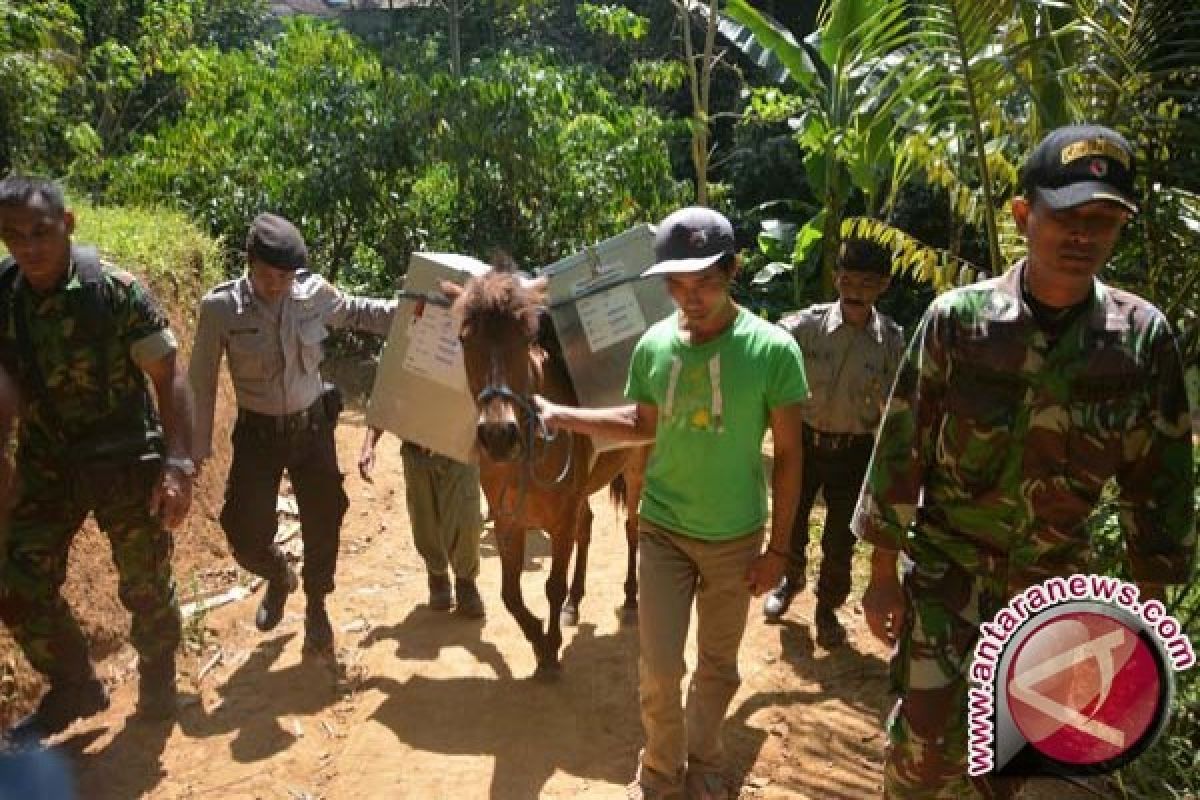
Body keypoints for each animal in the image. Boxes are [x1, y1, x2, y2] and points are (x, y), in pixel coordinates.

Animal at [441, 272, 648, 681]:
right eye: (464, 339)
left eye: (525, 340)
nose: (498, 435)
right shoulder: (508, 520)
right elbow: (510, 594)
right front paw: (538, 639)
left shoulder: (560, 520)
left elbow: (552, 585)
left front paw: (550, 651)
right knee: (588, 525)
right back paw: (574, 604)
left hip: (635, 471)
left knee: (632, 528)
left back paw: (631, 597)